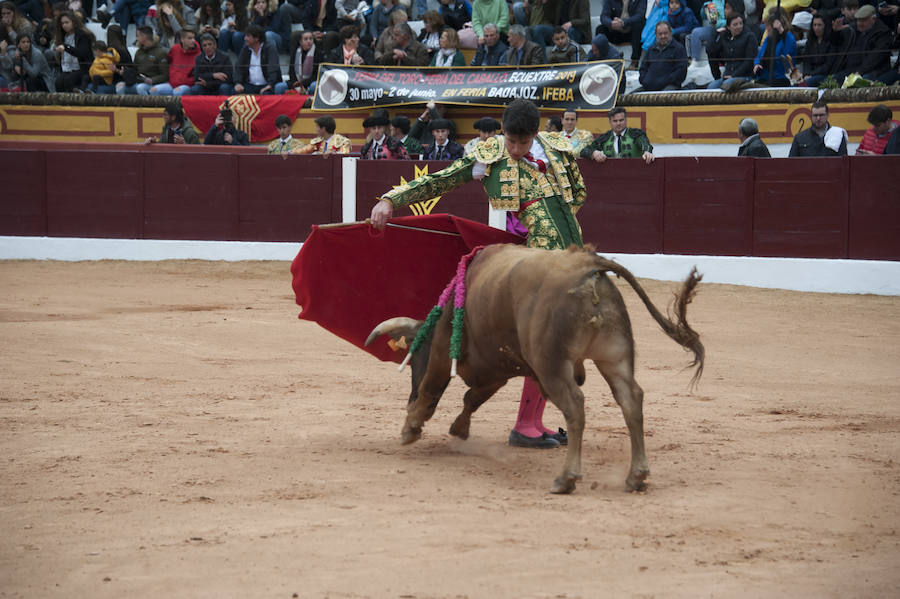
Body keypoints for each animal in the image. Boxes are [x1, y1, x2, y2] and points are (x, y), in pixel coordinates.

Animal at [364, 245, 704, 496]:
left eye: (414, 358)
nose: (408, 398)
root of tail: (589, 266)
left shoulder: (443, 352)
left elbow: (434, 388)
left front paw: (410, 429)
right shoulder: (497, 369)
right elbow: (472, 398)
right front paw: (459, 429)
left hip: (552, 364)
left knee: (576, 406)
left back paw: (566, 479)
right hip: (614, 358)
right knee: (631, 400)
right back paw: (636, 476)